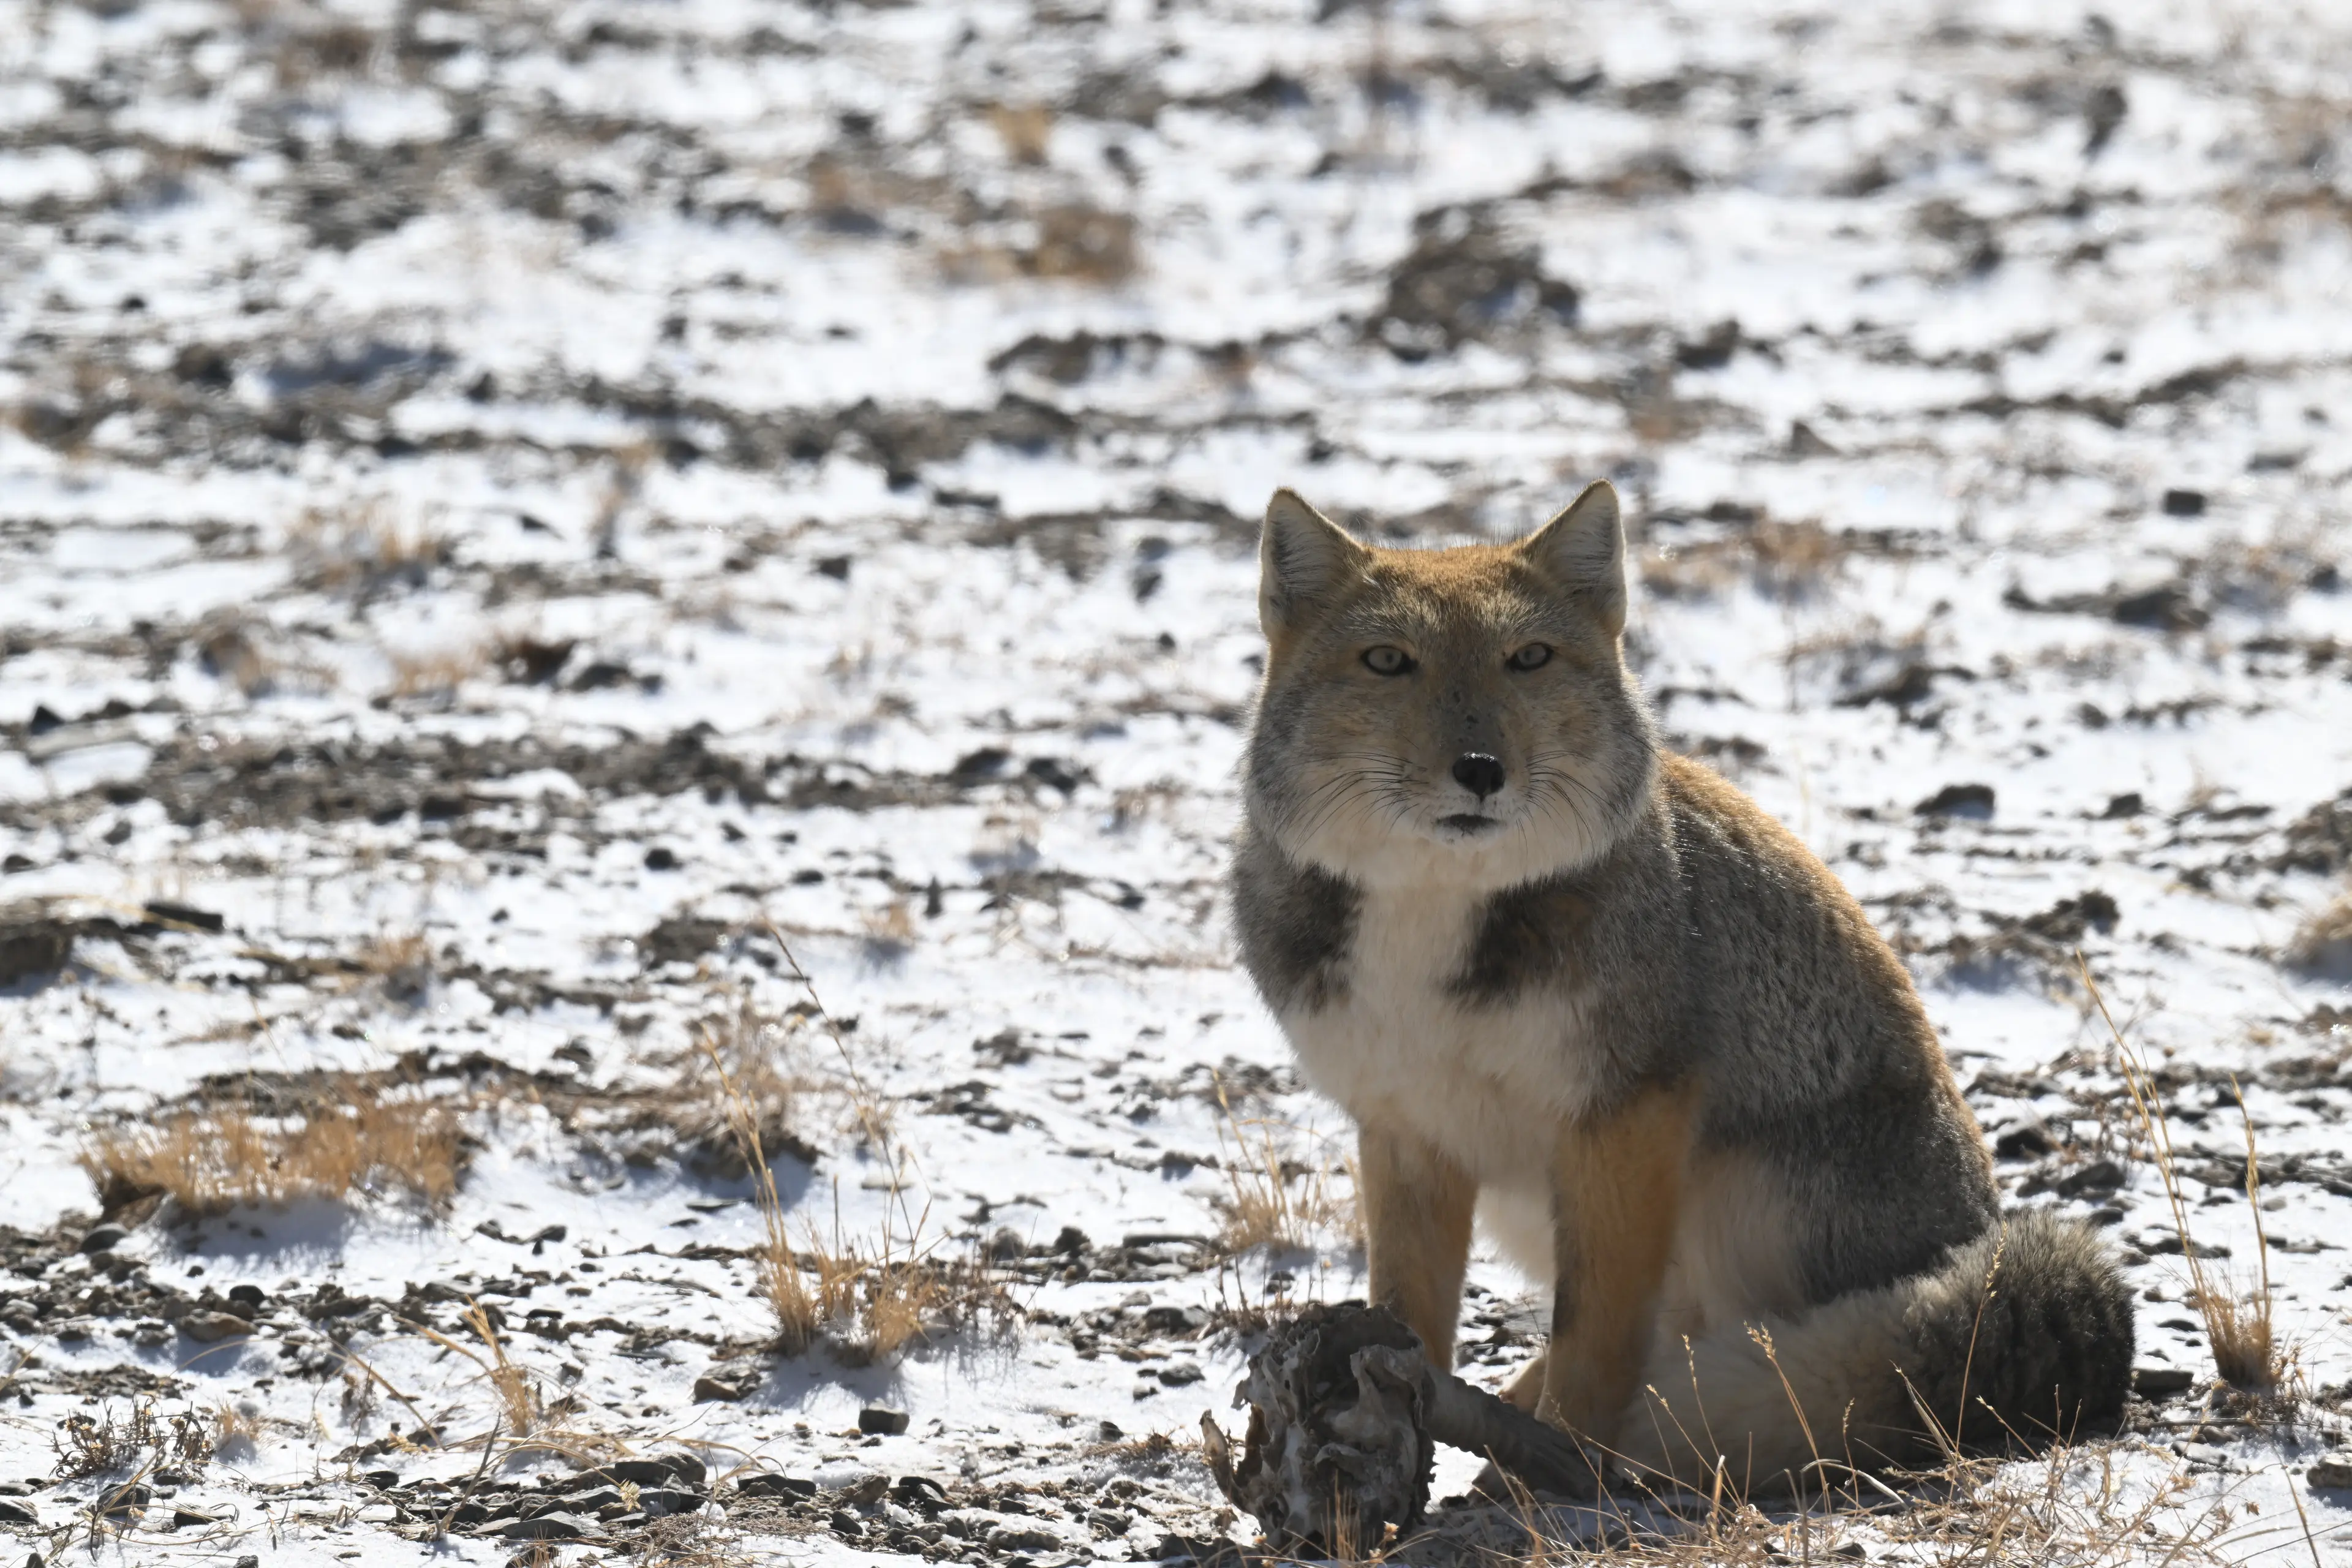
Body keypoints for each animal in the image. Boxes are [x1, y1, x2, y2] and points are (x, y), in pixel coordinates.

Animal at [1229, 481, 2133, 1494]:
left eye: (1528, 658)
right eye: (1388, 661)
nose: (1480, 772)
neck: (1433, 924)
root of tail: (1981, 1237)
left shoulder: (1625, 1115)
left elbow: (1597, 1336)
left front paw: (1561, 1464)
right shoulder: (1408, 1130)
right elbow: (1411, 1314)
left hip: (1731, 1196)